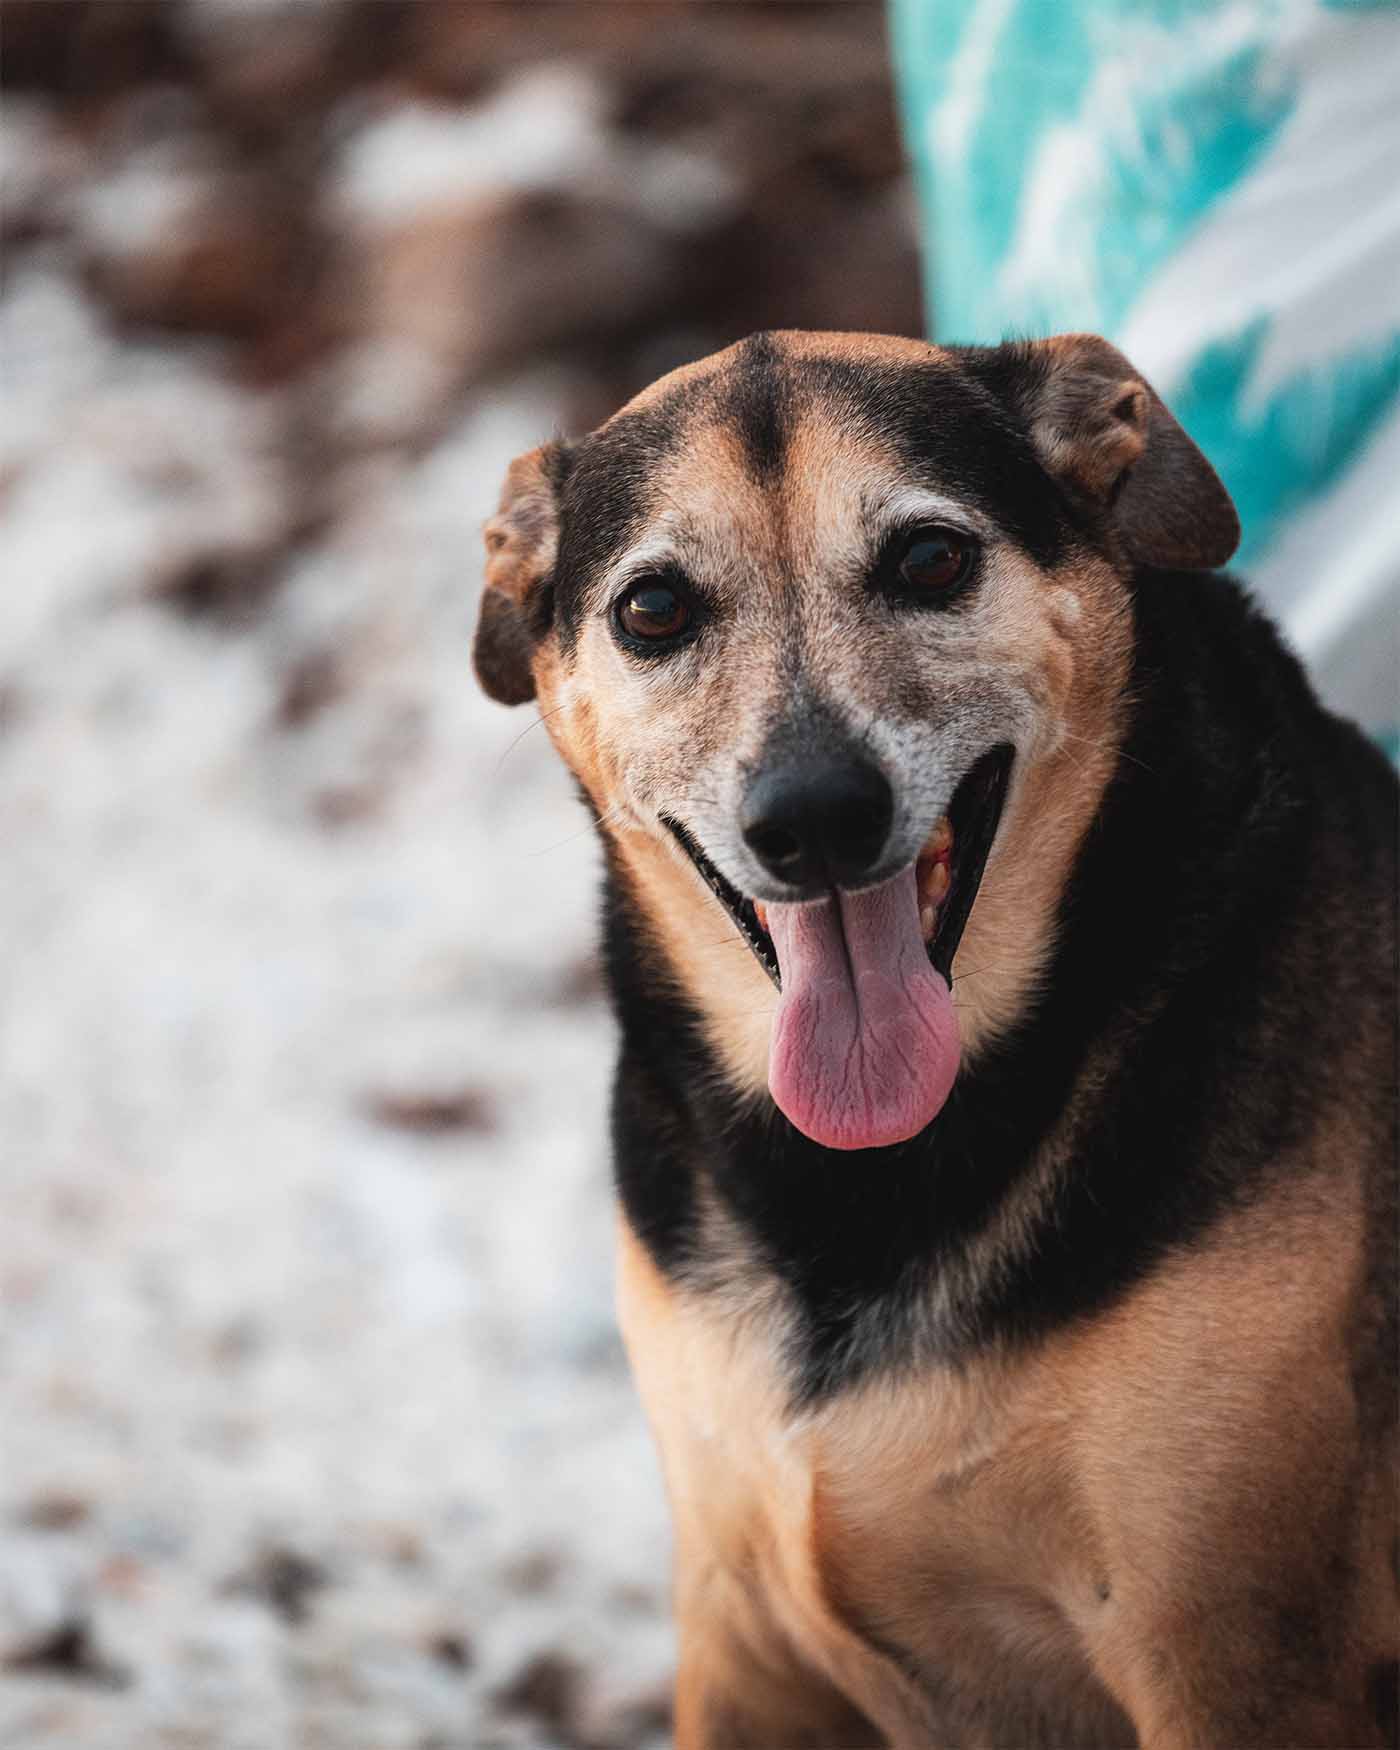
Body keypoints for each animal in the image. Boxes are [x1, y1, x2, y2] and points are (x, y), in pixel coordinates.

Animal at [472, 330, 1400, 1750]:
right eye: (653, 609)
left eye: (927, 559)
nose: (811, 818)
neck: (862, 1175)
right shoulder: (741, 1639)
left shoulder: (1239, 1652)